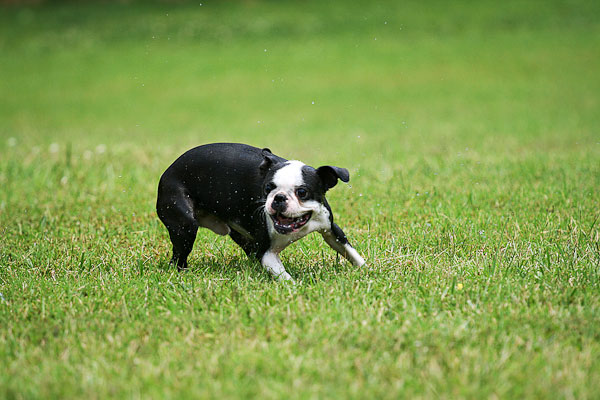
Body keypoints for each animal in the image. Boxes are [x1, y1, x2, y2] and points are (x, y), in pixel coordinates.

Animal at [155, 142, 366, 280]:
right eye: (268, 188)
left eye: (302, 192)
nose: (278, 197)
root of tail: (166, 172)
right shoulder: (267, 253)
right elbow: (284, 277)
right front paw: (295, 289)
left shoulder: (330, 227)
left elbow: (349, 251)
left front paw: (366, 270)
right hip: (185, 225)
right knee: (178, 257)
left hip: (239, 233)